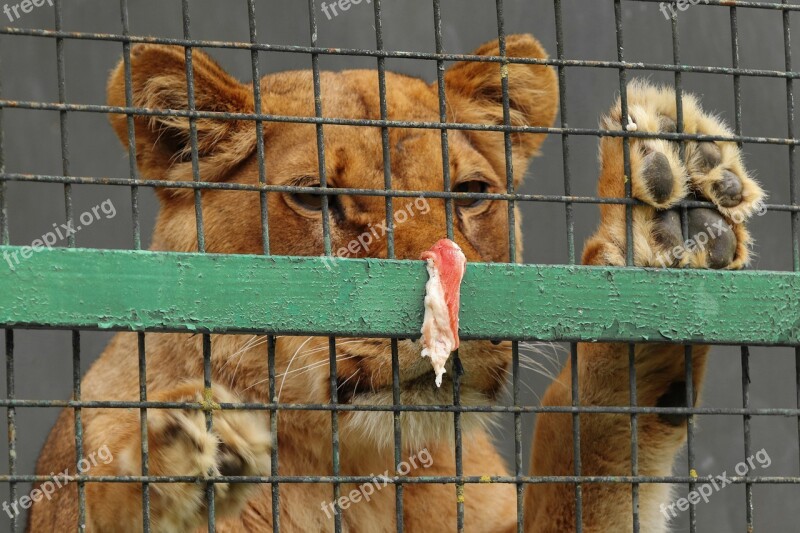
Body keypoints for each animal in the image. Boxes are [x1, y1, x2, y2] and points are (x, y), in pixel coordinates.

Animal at [28, 35, 764, 528]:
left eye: (471, 193)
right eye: (316, 198)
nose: (445, 315)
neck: (358, 474)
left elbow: (585, 451)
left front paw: (660, 237)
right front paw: (181, 457)